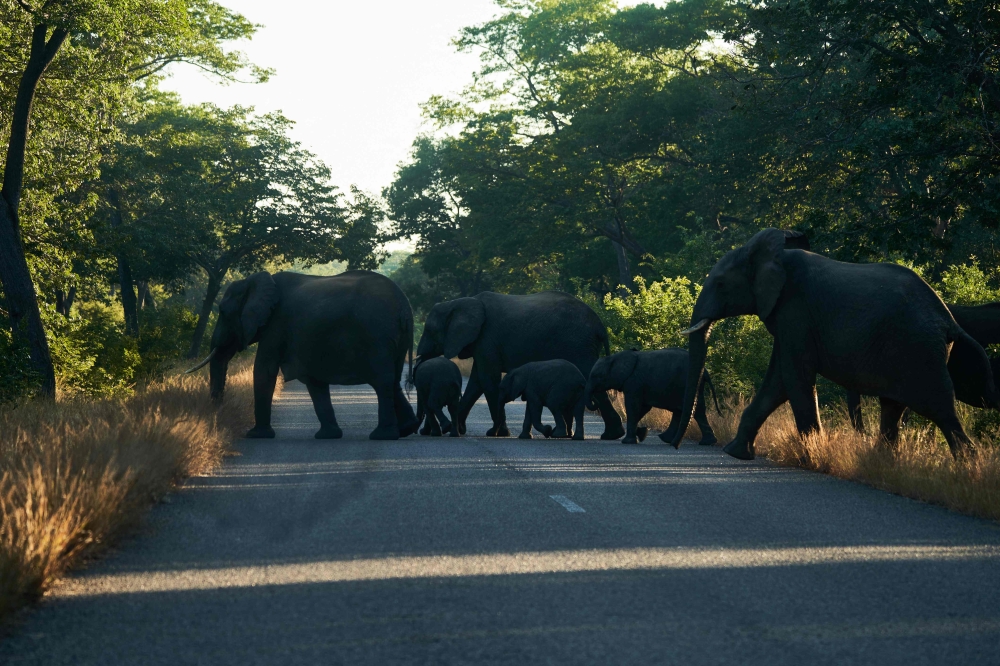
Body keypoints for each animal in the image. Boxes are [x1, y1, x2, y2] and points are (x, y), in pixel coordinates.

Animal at [188, 270, 419, 441]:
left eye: (223, 312)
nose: (216, 413)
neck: (254, 281)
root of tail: (404, 306)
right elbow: (313, 381)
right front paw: (328, 436)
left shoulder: (276, 323)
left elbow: (264, 369)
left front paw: (255, 435)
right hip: (395, 339)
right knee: (392, 381)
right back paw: (405, 430)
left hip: (377, 336)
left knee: (382, 382)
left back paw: (382, 436)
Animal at [416, 291, 625, 439]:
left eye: (429, 330)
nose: (423, 431)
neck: (459, 302)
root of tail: (600, 325)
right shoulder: (482, 343)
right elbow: (476, 383)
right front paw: (458, 429)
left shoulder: (487, 338)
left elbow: (487, 380)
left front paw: (497, 433)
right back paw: (611, 435)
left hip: (577, 345)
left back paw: (611, 435)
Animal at [588, 348, 721, 446]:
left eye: (596, 376)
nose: (595, 400)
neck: (615, 357)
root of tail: (705, 371)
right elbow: (642, 408)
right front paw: (642, 433)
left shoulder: (634, 382)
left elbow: (633, 406)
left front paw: (629, 441)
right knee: (687, 410)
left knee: (692, 409)